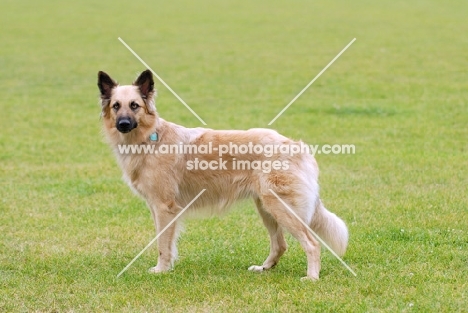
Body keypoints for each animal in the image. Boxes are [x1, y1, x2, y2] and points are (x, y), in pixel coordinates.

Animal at [98, 69, 348, 280]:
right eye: (116, 106)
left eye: (135, 106)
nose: (123, 124)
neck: (150, 138)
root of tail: (297, 146)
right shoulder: (157, 208)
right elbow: (164, 242)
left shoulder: (164, 208)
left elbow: (162, 245)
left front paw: (161, 270)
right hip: (266, 208)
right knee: (280, 245)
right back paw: (264, 268)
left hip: (281, 208)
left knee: (312, 243)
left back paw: (312, 277)